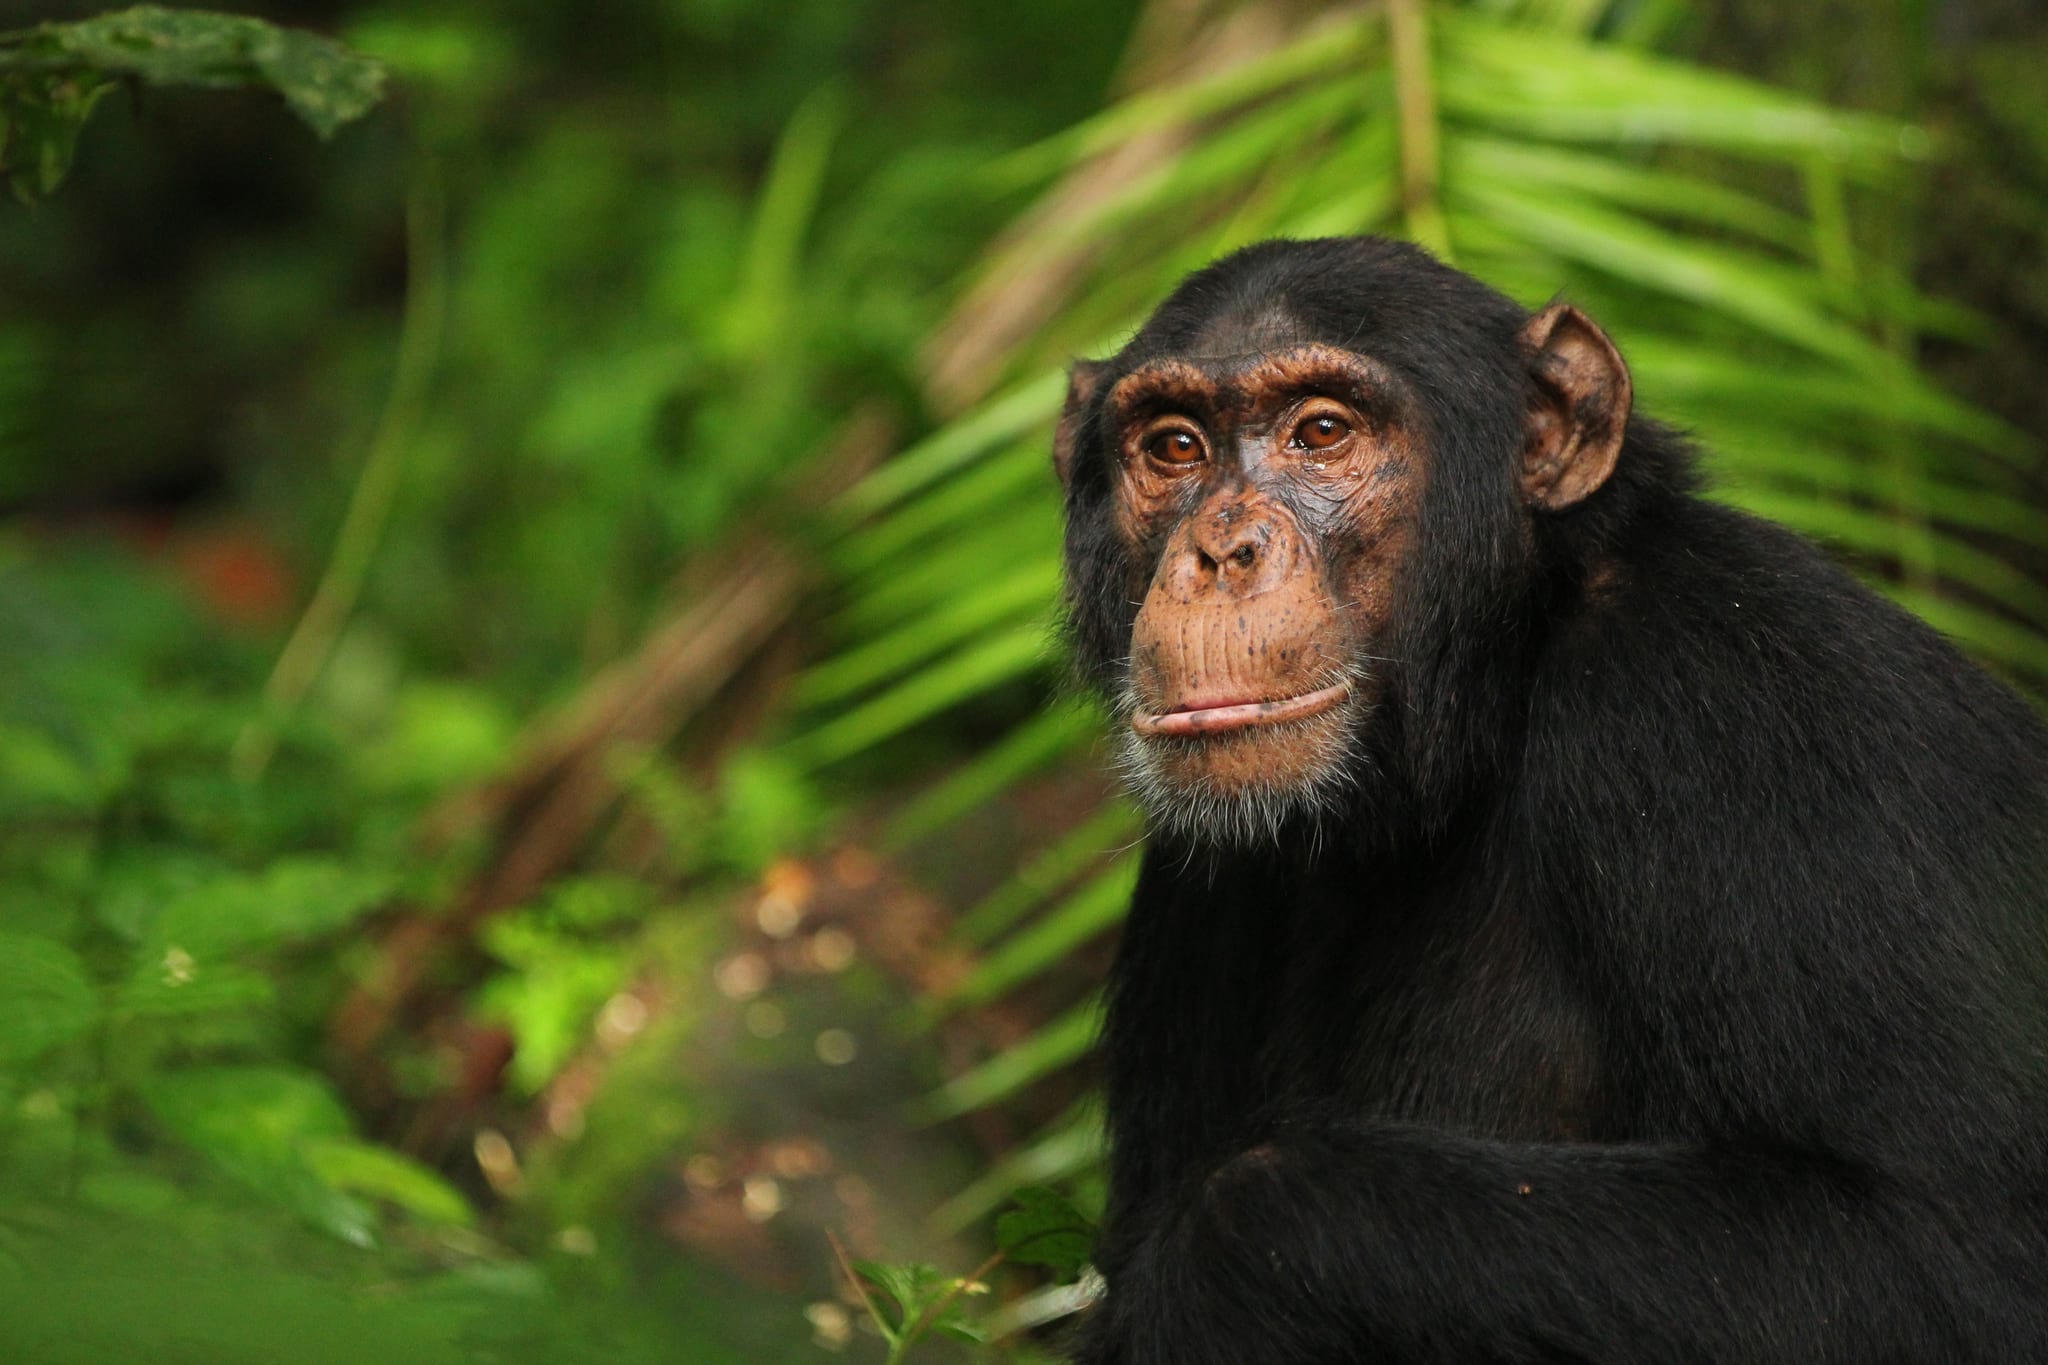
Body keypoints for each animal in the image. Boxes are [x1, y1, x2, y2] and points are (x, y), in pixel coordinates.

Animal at [1056, 237, 2048, 1365]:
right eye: (1174, 447)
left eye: (1322, 432)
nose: (1219, 551)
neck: (1496, 692)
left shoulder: (1745, 710)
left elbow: (1940, 1252)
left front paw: (1214, 1256)